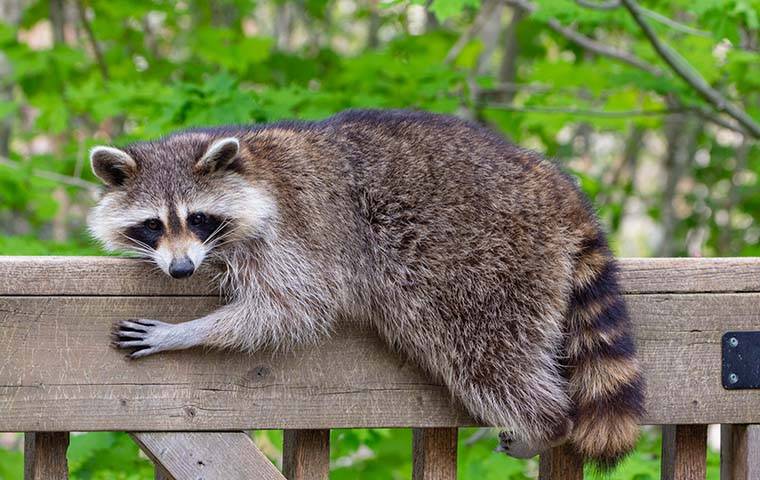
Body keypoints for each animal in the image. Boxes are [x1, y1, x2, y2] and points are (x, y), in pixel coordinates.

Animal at [92, 109, 644, 468]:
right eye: (152, 225)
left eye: (199, 218)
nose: (182, 270)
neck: (252, 165)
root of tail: (555, 185)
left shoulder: (296, 235)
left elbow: (292, 309)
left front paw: (186, 331)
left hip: (488, 262)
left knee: (487, 355)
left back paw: (545, 423)